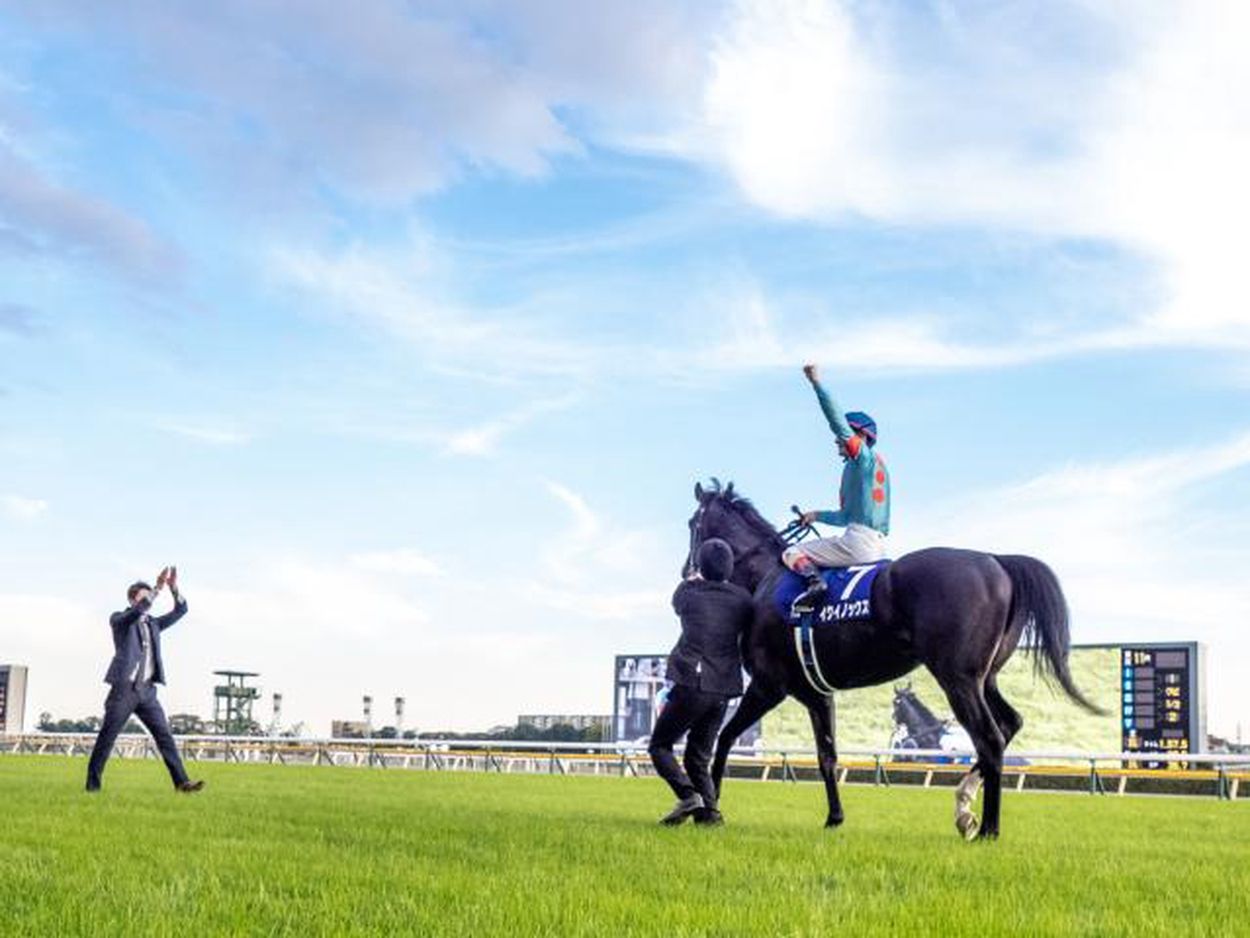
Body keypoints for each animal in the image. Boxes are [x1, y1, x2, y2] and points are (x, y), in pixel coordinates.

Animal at [690, 480, 1100, 840]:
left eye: (694, 523)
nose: (687, 570)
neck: (767, 581)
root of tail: (996, 561)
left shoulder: (768, 685)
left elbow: (725, 739)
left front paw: (711, 807)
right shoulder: (817, 694)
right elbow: (827, 756)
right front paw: (834, 817)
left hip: (958, 679)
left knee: (990, 739)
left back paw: (987, 827)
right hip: (985, 678)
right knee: (1010, 723)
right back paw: (964, 808)